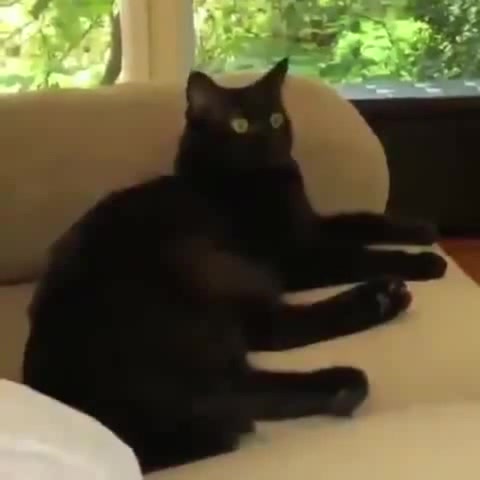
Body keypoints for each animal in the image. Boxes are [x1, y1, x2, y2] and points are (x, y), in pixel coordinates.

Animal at [22, 58, 446, 474]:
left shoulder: (309, 226)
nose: (268, 139)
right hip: (208, 284)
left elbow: (362, 220)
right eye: (238, 125)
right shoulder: (294, 256)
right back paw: (372, 322)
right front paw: (426, 262)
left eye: (275, 118)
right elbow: (359, 252)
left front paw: (420, 229)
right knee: (259, 357)